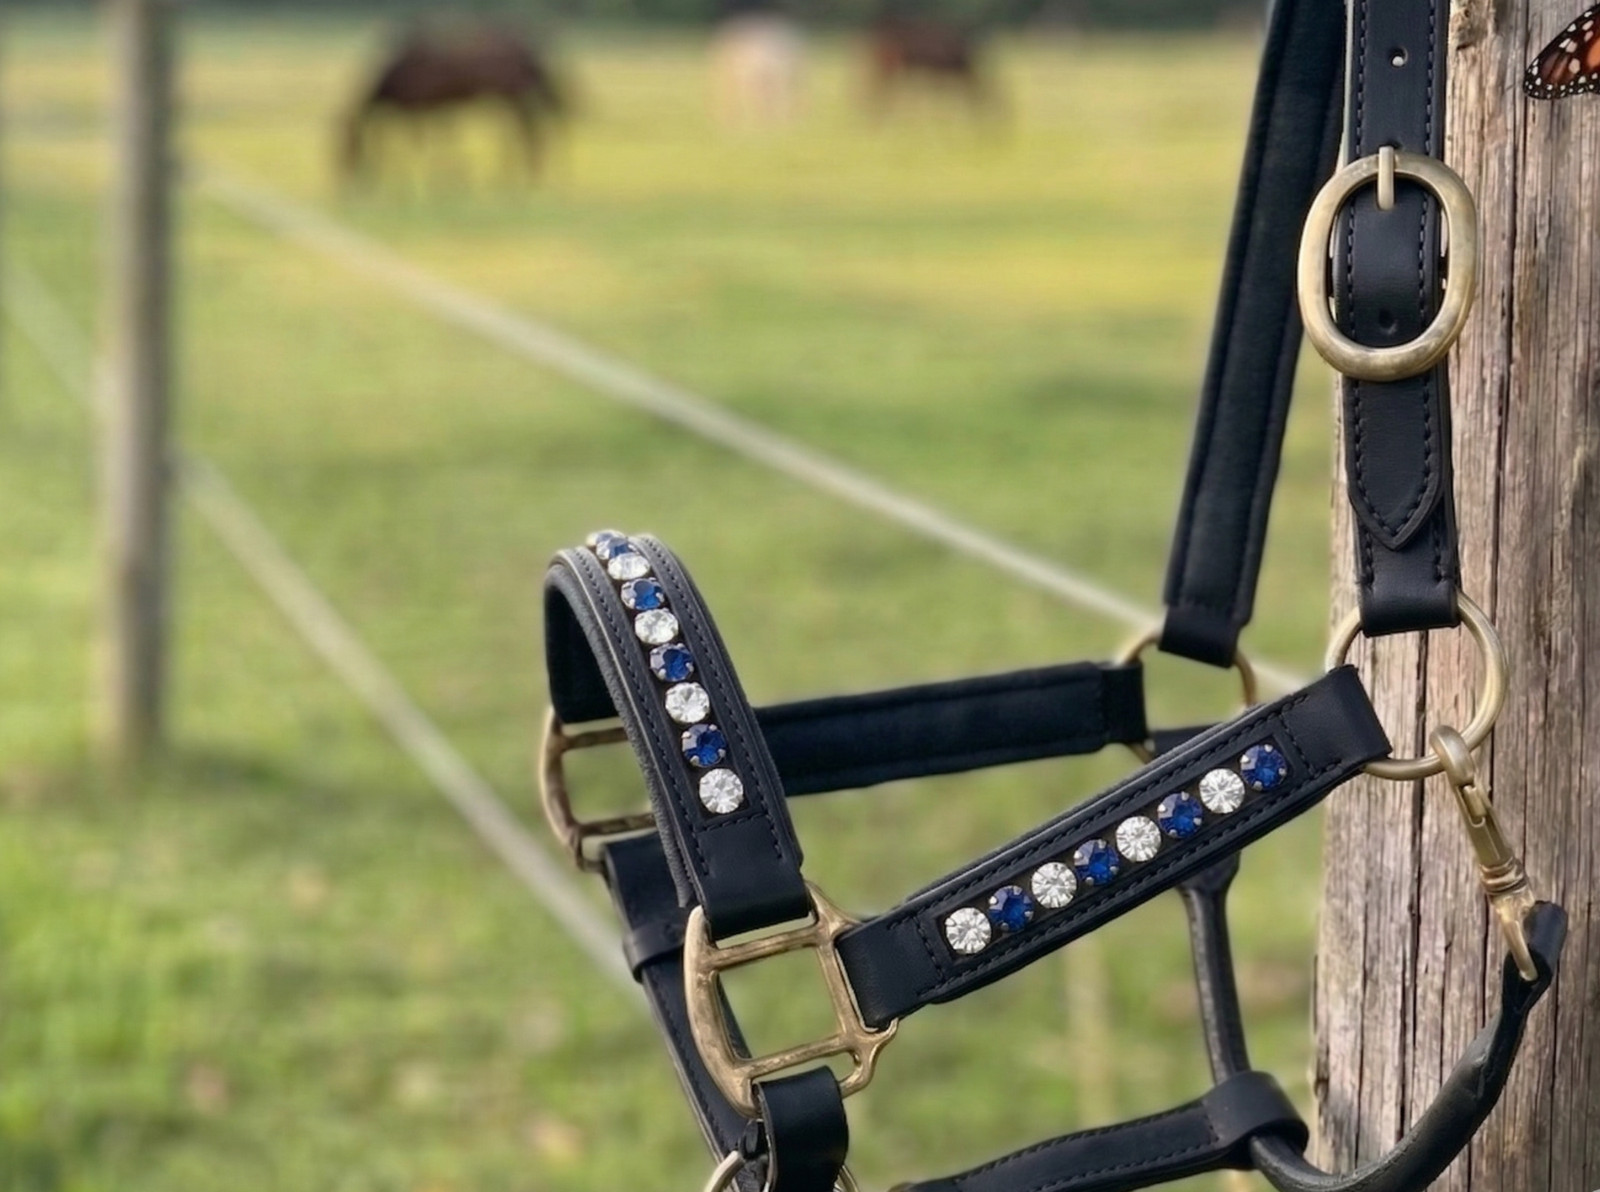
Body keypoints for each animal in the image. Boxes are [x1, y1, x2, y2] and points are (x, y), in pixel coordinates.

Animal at [339, 24, 567, 184]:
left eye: (346, 145)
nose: (347, 180)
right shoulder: (430, 111)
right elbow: (434, 143)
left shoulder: (417, 110)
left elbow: (418, 146)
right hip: (511, 98)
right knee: (527, 133)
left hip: (513, 96)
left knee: (528, 133)